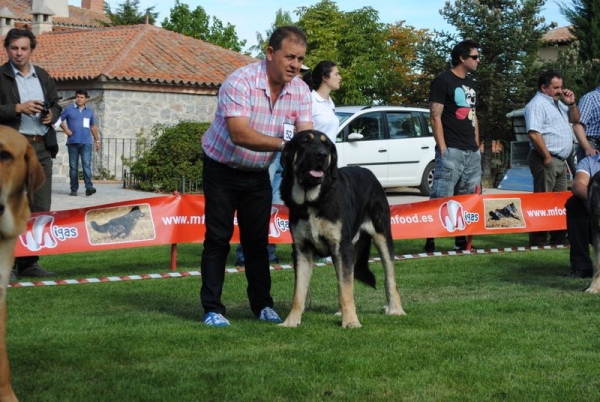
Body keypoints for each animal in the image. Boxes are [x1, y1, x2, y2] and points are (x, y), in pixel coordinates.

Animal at [278, 130, 406, 328]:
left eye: (327, 145)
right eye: (305, 142)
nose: (322, 155)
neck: (312, 201)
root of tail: (368, 172)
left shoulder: (341, 247)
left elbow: (345, 287)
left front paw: (351, 322)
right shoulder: (301, 250)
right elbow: (299, 292)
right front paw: (291, 321)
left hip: (382, 235)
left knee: (389, 277)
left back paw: (395, 309)